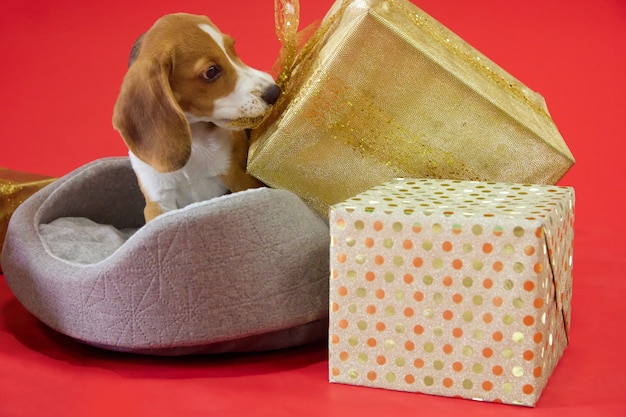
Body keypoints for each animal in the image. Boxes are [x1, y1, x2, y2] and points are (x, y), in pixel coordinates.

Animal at [112, 13, 278, 223]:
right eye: (211, 71)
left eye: (232, 49)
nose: (274, 92)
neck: (195, 136)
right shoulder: (158, 202)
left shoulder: (238, 177)